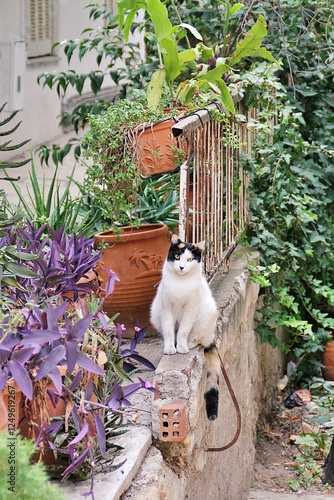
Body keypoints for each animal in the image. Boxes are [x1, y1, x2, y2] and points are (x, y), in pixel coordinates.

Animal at [150, 236, 220, 420]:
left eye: (189, 260)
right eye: (176, 256)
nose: (181, 267)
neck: (180, 283)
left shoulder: (190, 309)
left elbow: (182, 331)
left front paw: (181, 347)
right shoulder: (166, 308)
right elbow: (169, 331)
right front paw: (170, 348)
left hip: (207, 314)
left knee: (200, 339)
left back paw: (189, 343)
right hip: (155, 312)